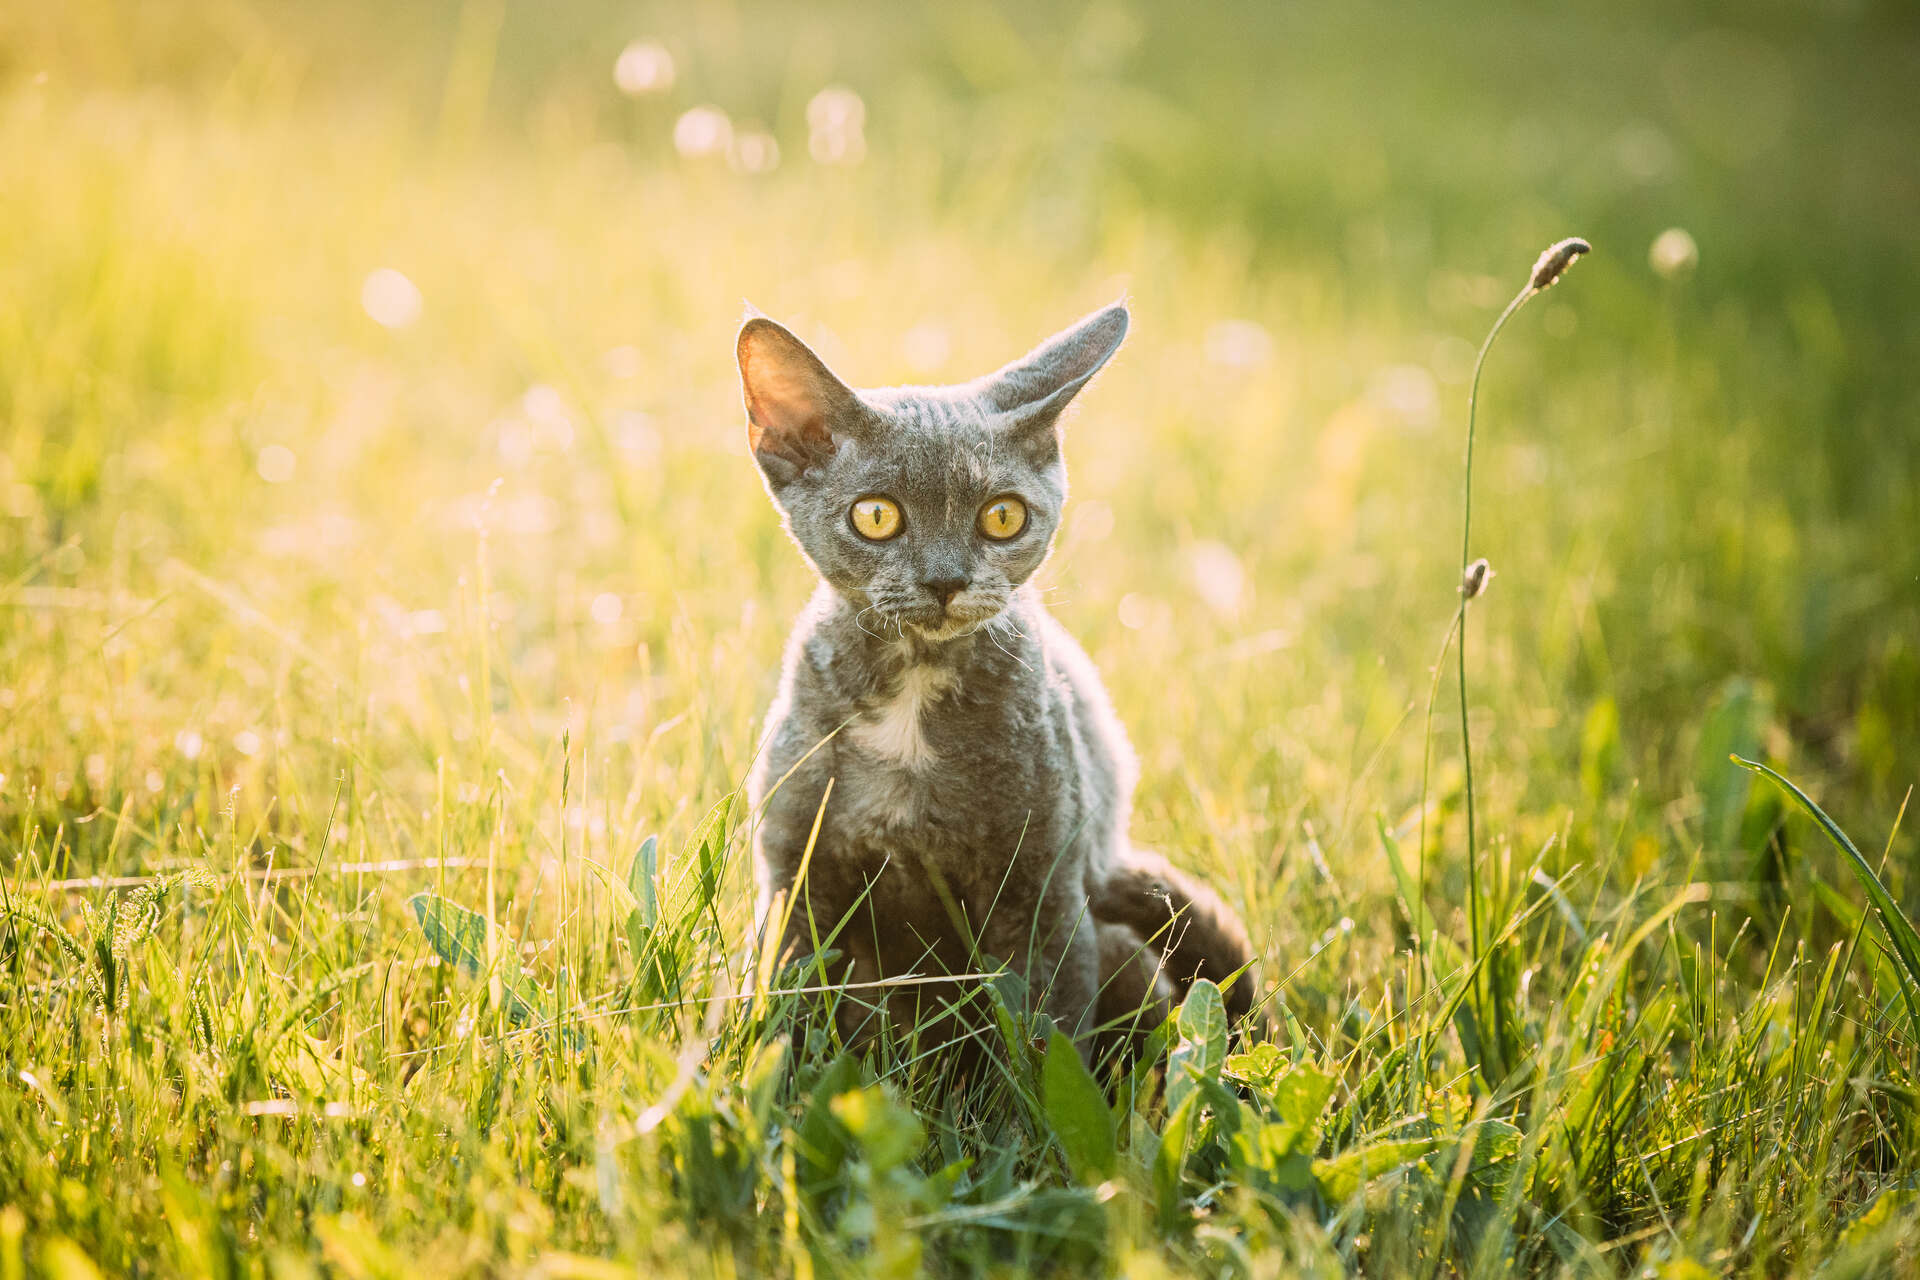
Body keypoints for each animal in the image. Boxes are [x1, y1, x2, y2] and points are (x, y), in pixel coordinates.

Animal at [737, 305, 1259, 1066]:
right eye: (876, 514)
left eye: (1003, 516)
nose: (946, 578)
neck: (912, 694)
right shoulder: (795, 882)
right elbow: (788, 1017)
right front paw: (775, 1082)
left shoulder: (1042, 894)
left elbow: (1046, 1034)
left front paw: (1034, 1097)